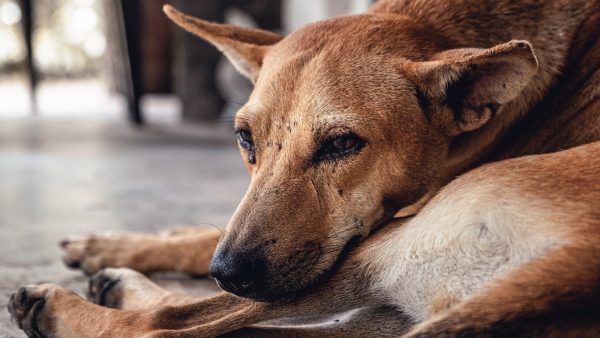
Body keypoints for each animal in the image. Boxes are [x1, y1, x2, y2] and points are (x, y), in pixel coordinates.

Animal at [5, 0, 600, 336]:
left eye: (341, 144)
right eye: (244, 138)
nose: (229, 272)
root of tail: (573, 276)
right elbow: (203, 235)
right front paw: (124, 242)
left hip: (376, 249)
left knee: (163, 326)